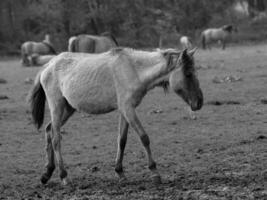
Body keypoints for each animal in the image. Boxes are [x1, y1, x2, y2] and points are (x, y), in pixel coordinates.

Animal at [27, 47, 203, 186]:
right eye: (188, 74)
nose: (199, 102)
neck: (134, 70)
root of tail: (48, 65)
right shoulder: (128, 109)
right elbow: (144, 137)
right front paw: (155, 173)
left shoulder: (124, 111)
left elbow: (122, 140)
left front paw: (120, 172)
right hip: (57, 107)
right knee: (56, 138)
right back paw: (64, 176)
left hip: (68, 108)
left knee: (49, 130)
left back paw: (47, 174)